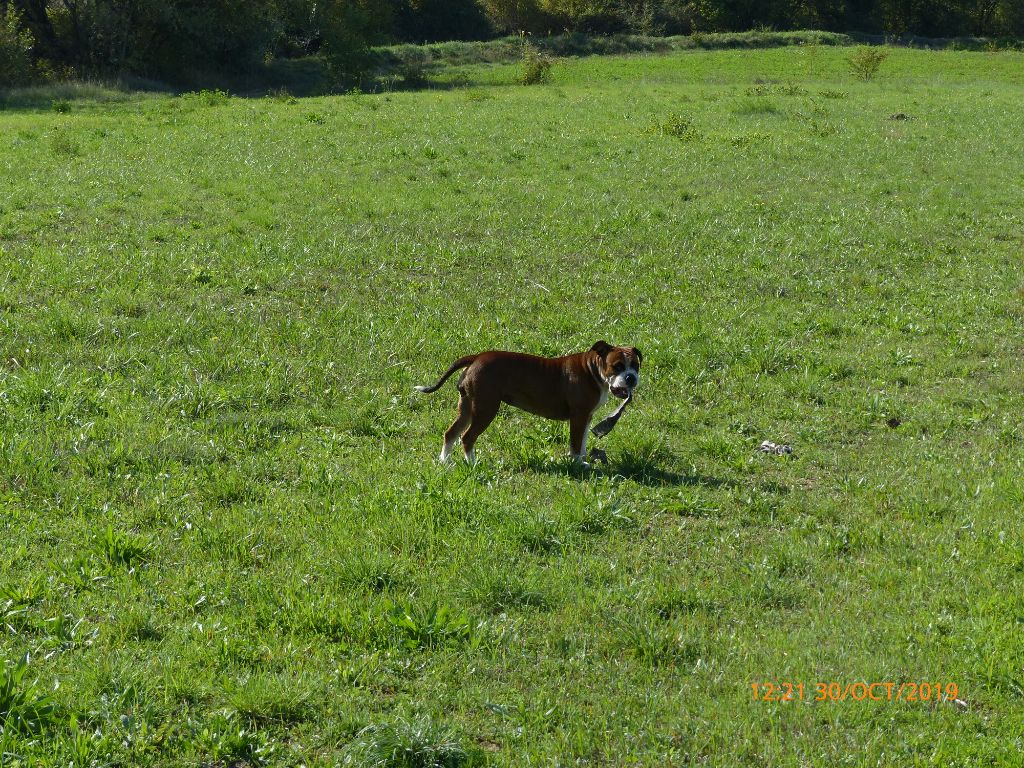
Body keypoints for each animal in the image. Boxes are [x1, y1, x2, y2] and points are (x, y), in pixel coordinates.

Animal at [415, 341, 641, 464]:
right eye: (617, 366)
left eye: (636, 366)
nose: (631, 378)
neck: (592, 369)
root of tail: (477, 357)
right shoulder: (578, 417)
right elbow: (576, 444)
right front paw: (578, 464)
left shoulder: (586, 417)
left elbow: (583, 442)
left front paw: (584, 460)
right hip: (485, 409)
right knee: (467, 437)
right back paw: (473, 463)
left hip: (467, 408)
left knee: (450, 433)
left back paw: (445, 462)